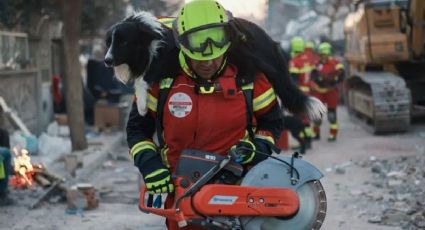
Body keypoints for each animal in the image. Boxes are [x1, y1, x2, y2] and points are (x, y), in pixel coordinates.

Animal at [104, 10, 322, 117]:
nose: (106, 60)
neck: (148, 38)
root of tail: (268, 39)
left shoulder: (167, 58)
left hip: (237, 48)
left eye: (123, 42)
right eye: (109, 42)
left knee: (251, 65)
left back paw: (243, 78)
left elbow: (143, 79)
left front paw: (141, 106)